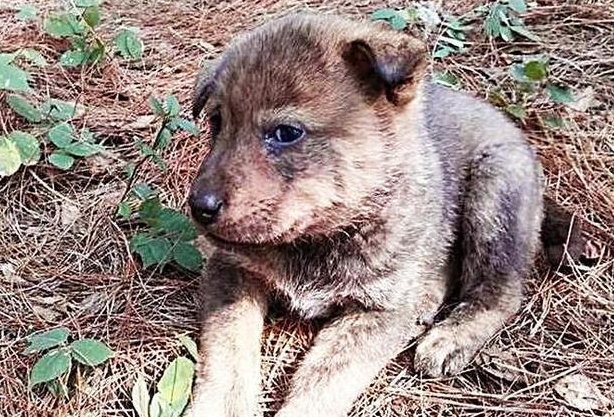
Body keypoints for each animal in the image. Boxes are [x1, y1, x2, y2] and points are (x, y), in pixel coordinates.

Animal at [186, 12, 544, 416]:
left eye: (286, 133)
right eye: (217, 123)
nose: (199, 206)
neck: (318, 239)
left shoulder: (376, 314)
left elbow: (323, 385)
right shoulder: (230, 270)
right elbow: (228, 352)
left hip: (495, 190)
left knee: (501, 291)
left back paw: (450, 336)